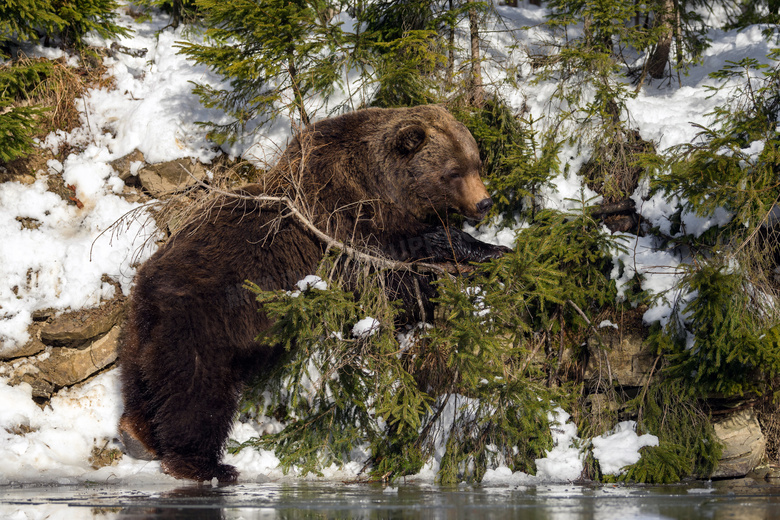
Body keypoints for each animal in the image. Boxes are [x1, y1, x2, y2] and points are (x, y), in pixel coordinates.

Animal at [114, 104, 506, 484]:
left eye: (476, 162)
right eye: (453, 172)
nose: (485, 203)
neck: (379, 185)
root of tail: (147, 293)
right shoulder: (343, 225)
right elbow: (399, 272)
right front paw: (481, 254)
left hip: (138, 334)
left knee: (143, 383)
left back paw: (136, 435)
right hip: (204, 325)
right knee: (196, 394)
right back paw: (207, 466)